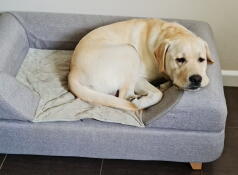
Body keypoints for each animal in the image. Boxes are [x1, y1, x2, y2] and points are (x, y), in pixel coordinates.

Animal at [68, 18, 215, 111]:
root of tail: (73, 72)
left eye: (201, 59)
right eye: (180, 59)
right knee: (124, 96)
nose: (196, 79)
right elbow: (157, 94)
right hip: (130, 51)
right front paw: (142, 101)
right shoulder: (139, 79)